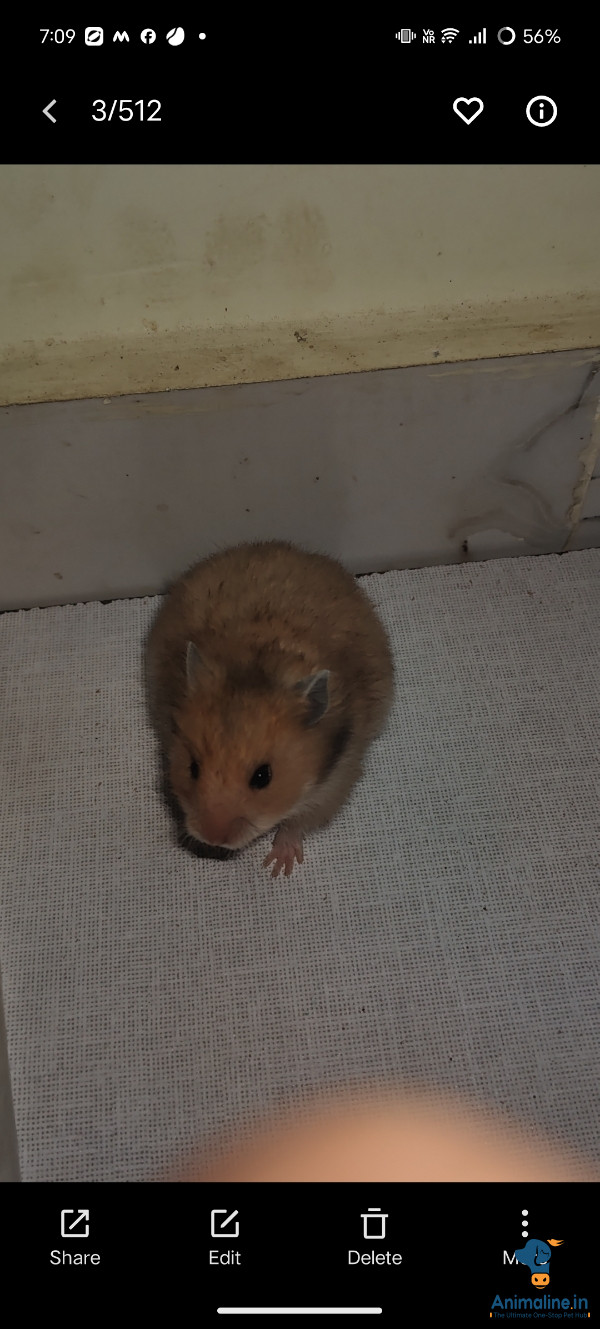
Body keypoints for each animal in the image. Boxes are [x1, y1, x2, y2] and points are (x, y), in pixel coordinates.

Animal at [146, 540, 394, 876]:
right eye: (192, 768)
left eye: (263, 777)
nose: (213, 837)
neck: (258, 664)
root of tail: (292, 549)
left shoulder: (334, 784)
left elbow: (295, 823)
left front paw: (278, 868)